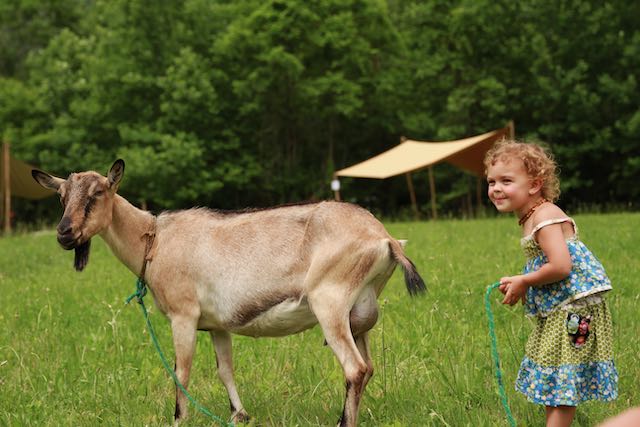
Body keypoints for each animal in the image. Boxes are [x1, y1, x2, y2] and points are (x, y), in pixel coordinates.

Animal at [32, 160, 428, 427]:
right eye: (61, 196)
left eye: (98, 193)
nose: (64, 233)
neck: (153, 241)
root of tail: (385, 239)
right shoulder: (217, 324)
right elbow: (225, 370)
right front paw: (240, 414)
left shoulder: (184, 315)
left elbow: (181, 371)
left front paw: (178, 419)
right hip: (359, 314)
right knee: (368, 367)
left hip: (329, 302)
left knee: (355, 368)